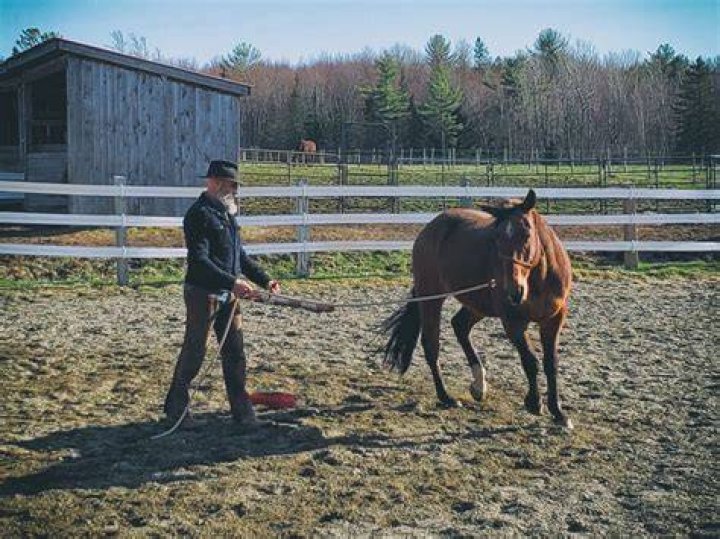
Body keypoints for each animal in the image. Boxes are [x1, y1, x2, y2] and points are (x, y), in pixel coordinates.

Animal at [381, 189, 574, 428]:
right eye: (496, 238)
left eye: (526, 233)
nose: (513, 291)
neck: (539, 279)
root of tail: (432, 226)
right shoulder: (513, 322)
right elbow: (530, 360)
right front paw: (534, 402)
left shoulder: (554, 319)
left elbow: (551, 363)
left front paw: (558, 412)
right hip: (431, 298)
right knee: (432, 345)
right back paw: (446, 397)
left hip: (477, 305)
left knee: (460, 326)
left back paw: (478, 384)